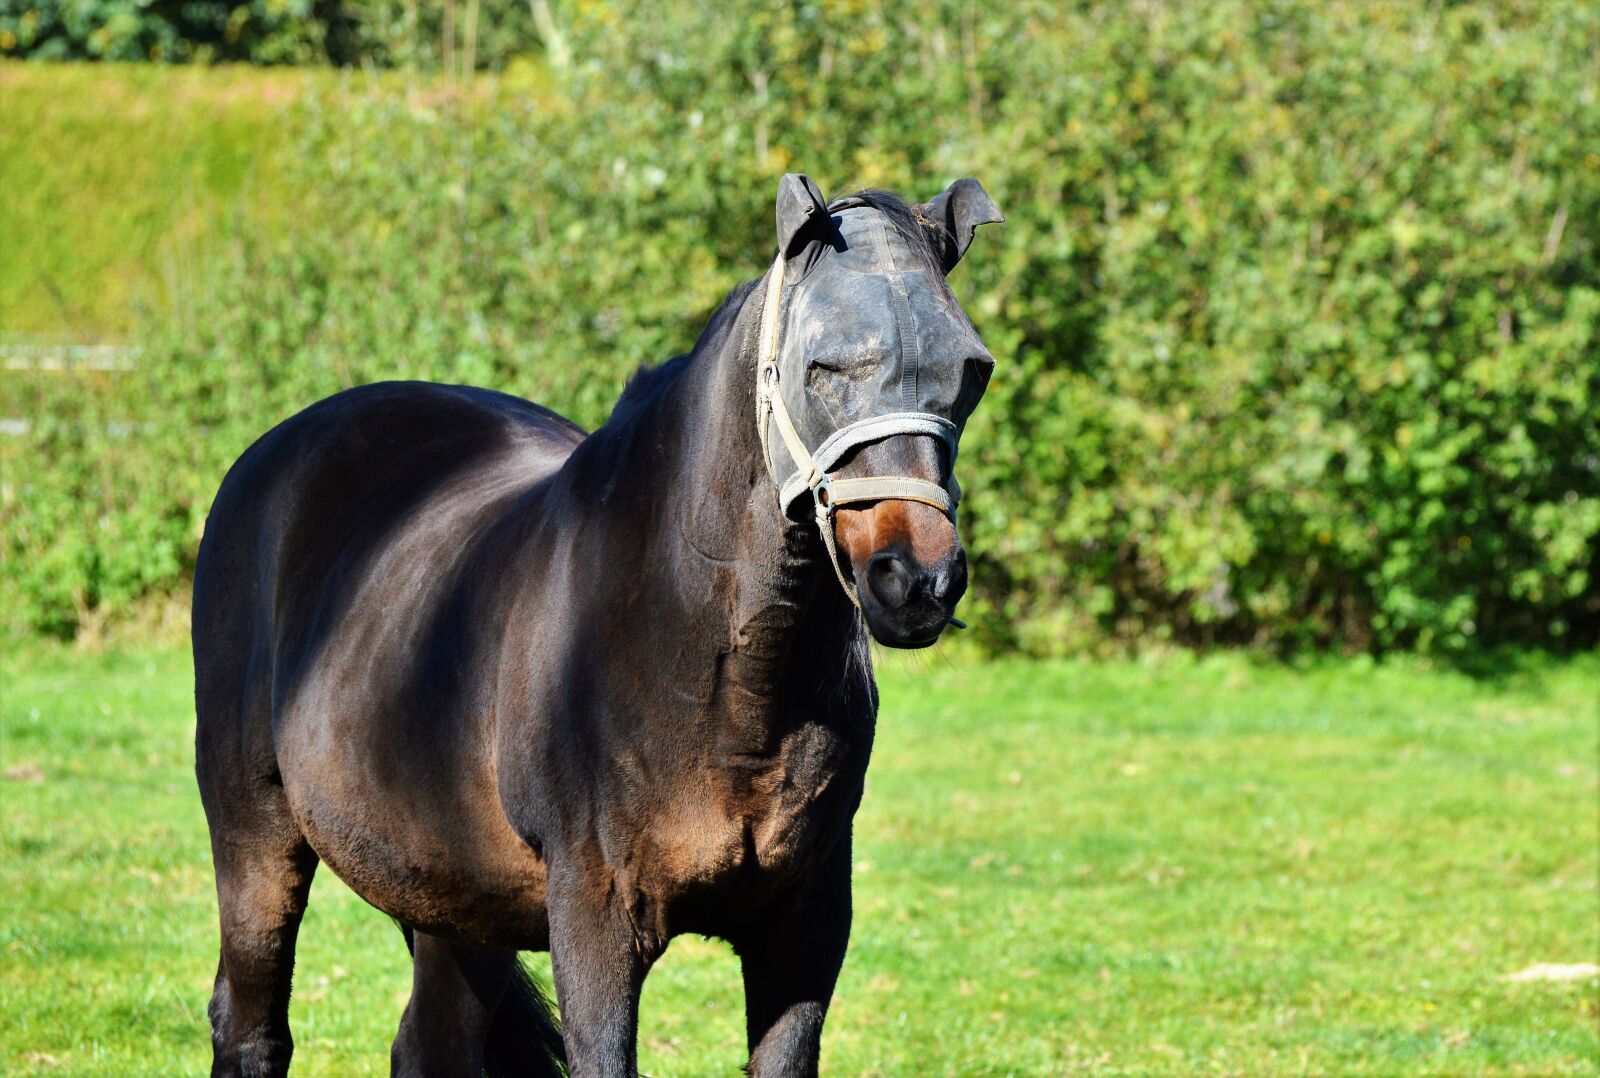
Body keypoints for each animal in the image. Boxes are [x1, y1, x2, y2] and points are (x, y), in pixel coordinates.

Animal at [193, 173, 1002, 1077]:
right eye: (821, 363)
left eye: (972, 371)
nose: (918, 579)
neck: (725, 671)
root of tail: (270, 455)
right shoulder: (596, 919)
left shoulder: (805, 925)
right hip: (255, 833)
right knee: (251, 1024)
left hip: (453, 895)